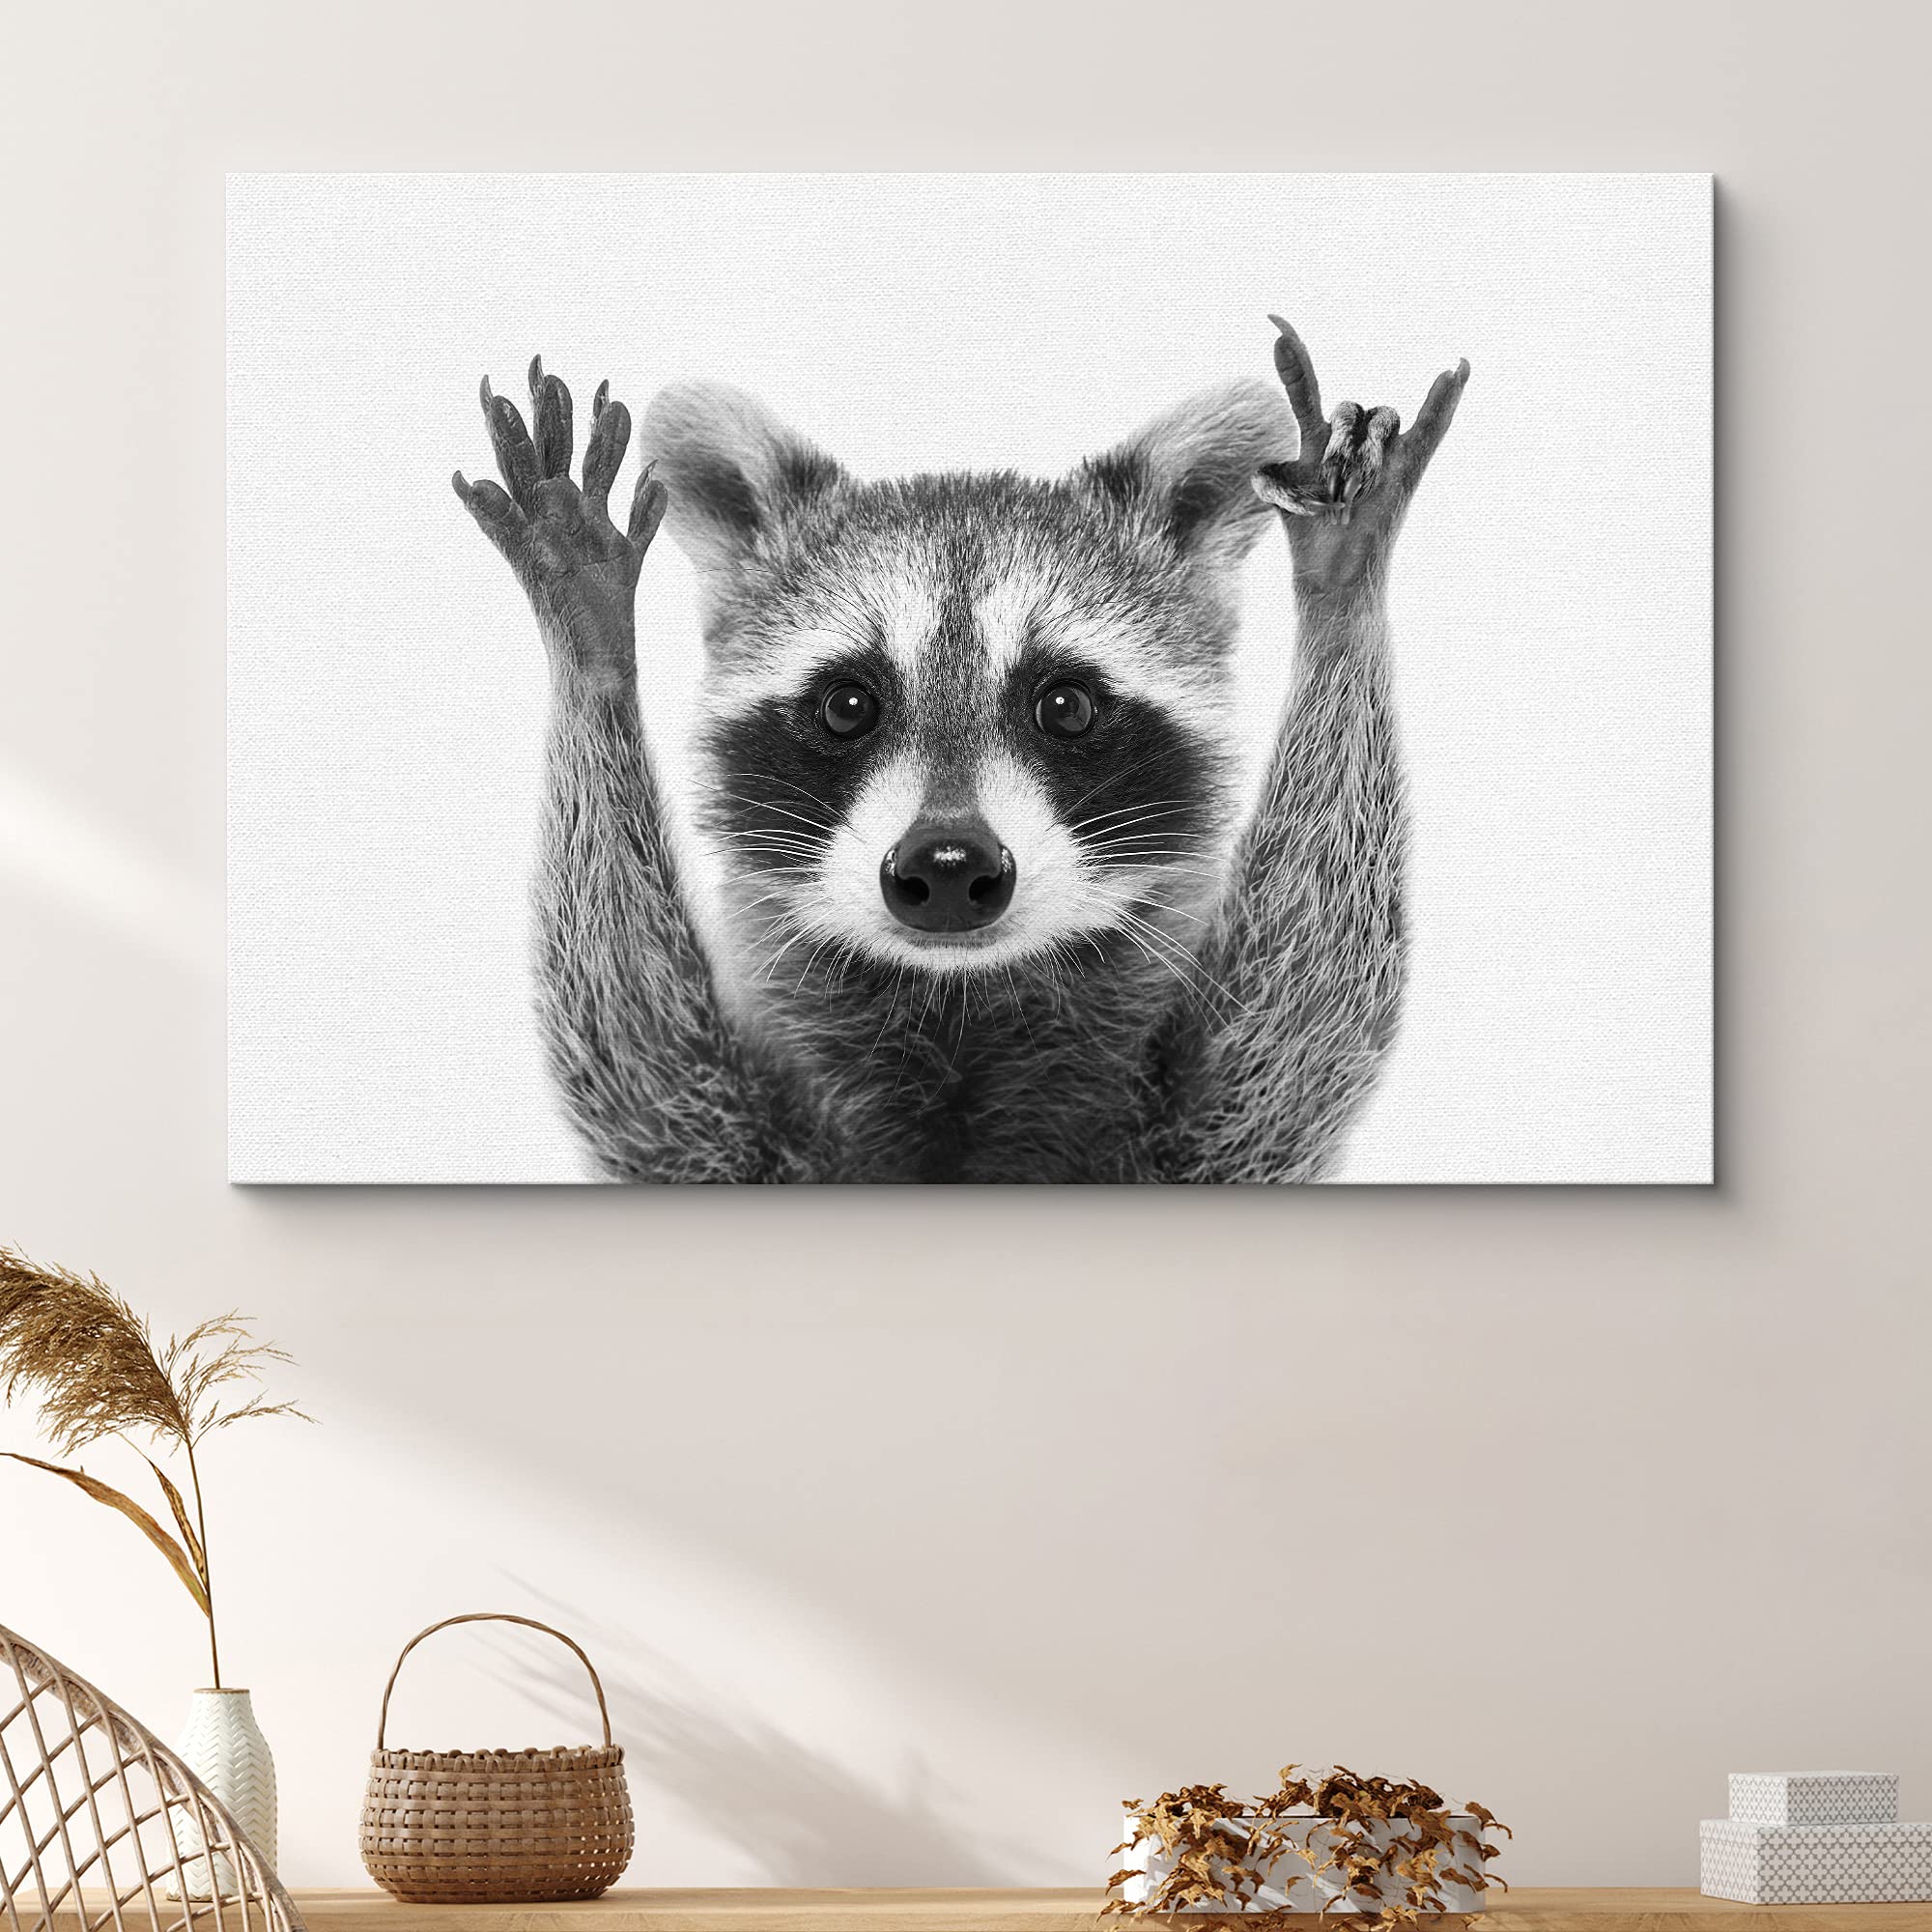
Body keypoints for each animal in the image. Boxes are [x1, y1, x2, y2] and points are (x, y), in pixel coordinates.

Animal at [453, 320, 1468, 1183]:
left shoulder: (1194, 1143)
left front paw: (1341, 586)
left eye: (1065, 706)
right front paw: (590, 635)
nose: (947, 865)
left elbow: (1300, 1028)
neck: (957, 1007)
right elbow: (640, 1069)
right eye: (847, 706)